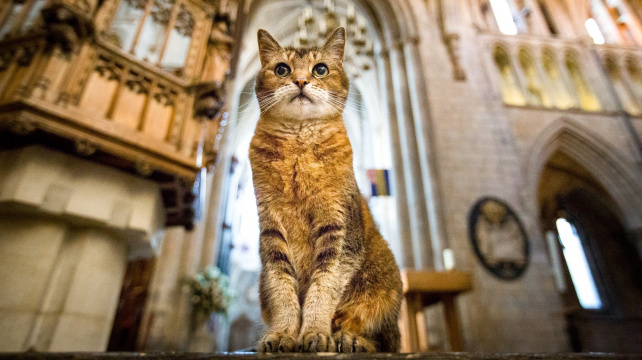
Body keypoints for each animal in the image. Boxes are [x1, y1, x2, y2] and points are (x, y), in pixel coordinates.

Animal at [251, 27, 400, 352]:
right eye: (282, 69)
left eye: (320, 69)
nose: (300, 81)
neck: (299, 147)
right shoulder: (271, 230)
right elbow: (283, 291)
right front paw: (283, 334)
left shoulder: (338, 231)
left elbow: (323, 289)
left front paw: (314, 333)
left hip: (384, 287)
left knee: (380, 339)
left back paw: (349, 339)